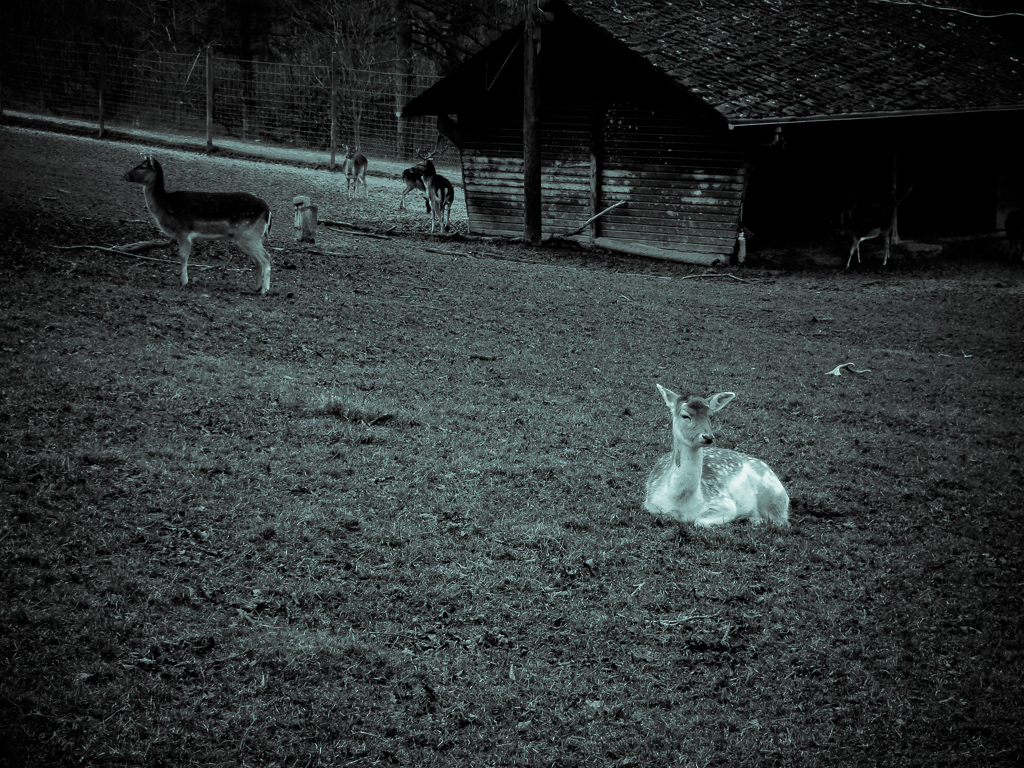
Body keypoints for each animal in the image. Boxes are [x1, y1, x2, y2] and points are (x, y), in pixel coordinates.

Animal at [123, 156, 273, 295]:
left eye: (143, 167)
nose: (126, 176)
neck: (165, 206)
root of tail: (268, 211)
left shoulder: (183, 231)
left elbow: (183, 256)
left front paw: (184, 282)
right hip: (247, 238)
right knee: (258, 261)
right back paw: (256, 287)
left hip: (249, 235)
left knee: (266, 258)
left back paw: (265, 290)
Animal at [644, 385, 790, 527]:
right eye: (685, 415)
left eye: (710, 415)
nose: (708, 437)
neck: (680, 503)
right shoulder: (650, 505)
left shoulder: (723, 501)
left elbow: (700, 521)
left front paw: (736, 518)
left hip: (773, 493)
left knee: (782, 521)